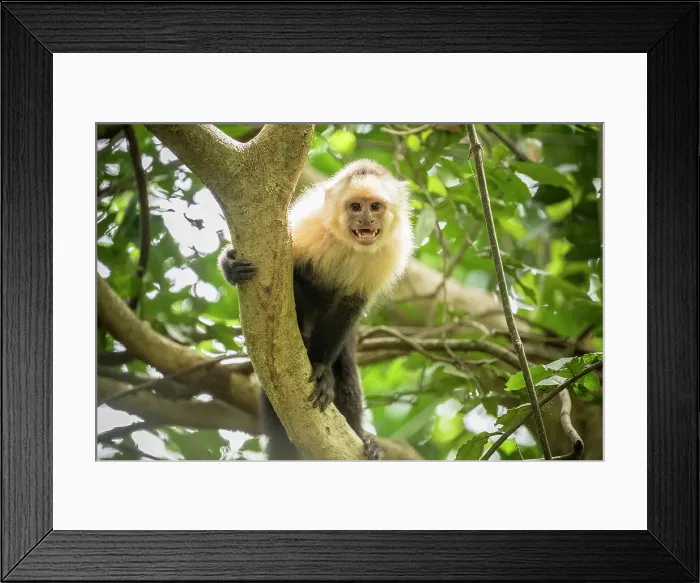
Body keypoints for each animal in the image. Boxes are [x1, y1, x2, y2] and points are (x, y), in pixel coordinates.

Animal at [219, 159, 414, 460]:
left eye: (375, 206)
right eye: (355, 206)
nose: (366, 220)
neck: (350, 244)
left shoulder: (390, 252)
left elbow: (350, 305)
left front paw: (321, 368)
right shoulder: (308, 228)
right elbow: (287, 274)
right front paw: (229, 264)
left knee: (346, 369)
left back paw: (362, 437)